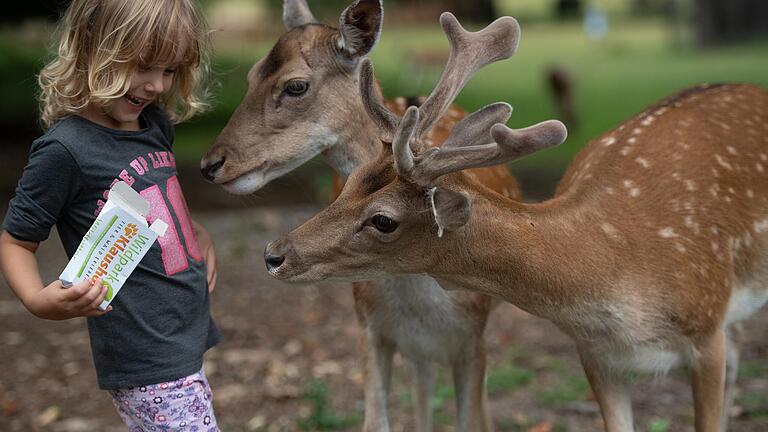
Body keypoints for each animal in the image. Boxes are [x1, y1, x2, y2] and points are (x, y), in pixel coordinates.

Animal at [198, 1, 524, 430]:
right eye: (251, 75)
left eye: (295, 85)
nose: (210, 165)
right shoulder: (368, 324)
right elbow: (376, 421)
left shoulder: (474, 334)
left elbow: (474, 419)